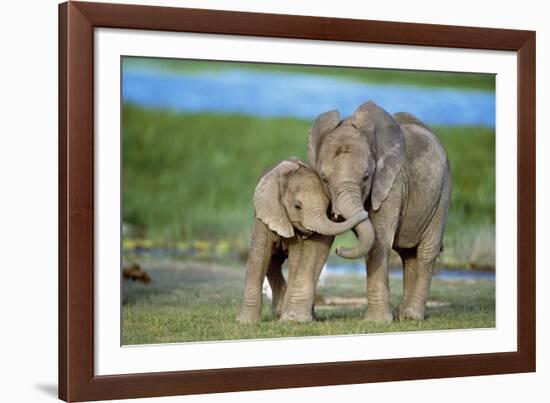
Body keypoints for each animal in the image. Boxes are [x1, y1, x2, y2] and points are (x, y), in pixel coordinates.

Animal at [238, 159, 370, 324]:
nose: (338, 249)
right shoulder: (265, 214)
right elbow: (259, 255)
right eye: (297, 206)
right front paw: (245, 322)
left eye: (327, 205)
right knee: (272, 262)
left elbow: (296, 260)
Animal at [308, 101, 450, 322]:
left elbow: (379, 240)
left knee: (427, 251)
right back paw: (402, 315)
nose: (339, 250)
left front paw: (377, 322)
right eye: (324, 179)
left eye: (366, 177)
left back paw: (412, 316)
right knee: (409, 255)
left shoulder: (392, 184)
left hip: (442, 193)